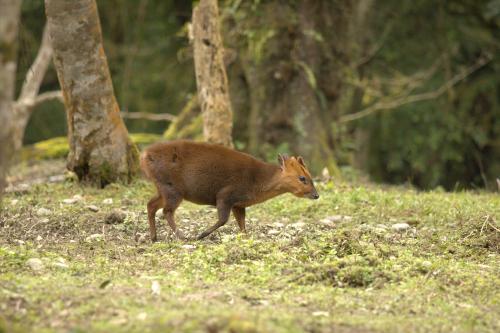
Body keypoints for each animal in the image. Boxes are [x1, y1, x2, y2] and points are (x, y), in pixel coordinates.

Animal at [141, 139, 320, 240]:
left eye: (310, 175)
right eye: (302, 178)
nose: (316, 195)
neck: (257, 182)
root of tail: (144, 154)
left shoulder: (238, 204)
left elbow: (242, 224)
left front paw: (245, 238)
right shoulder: (225, 195)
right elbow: (223, 220)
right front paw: (201, 235)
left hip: (163, 188)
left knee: (151, 205)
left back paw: (154, 237)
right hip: (172, 188)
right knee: (166, 211)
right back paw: (182, 236)